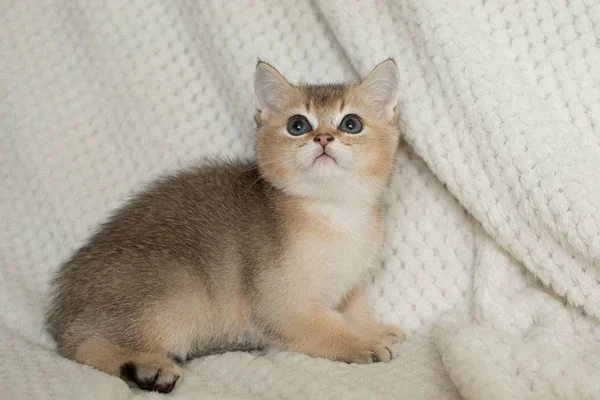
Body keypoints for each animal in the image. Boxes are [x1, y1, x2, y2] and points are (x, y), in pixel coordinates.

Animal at [45, 60, 404, 394]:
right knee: (81, 346)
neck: (334, 212)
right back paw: (146, 368)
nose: (324, 138)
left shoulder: (348, 281)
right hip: (178, 292)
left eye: (351, 124)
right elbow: (328, 327)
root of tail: (61, 306)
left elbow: (355, 308)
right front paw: (363, 344)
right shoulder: (279, 303)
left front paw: (374, 329)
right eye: (298, 125)